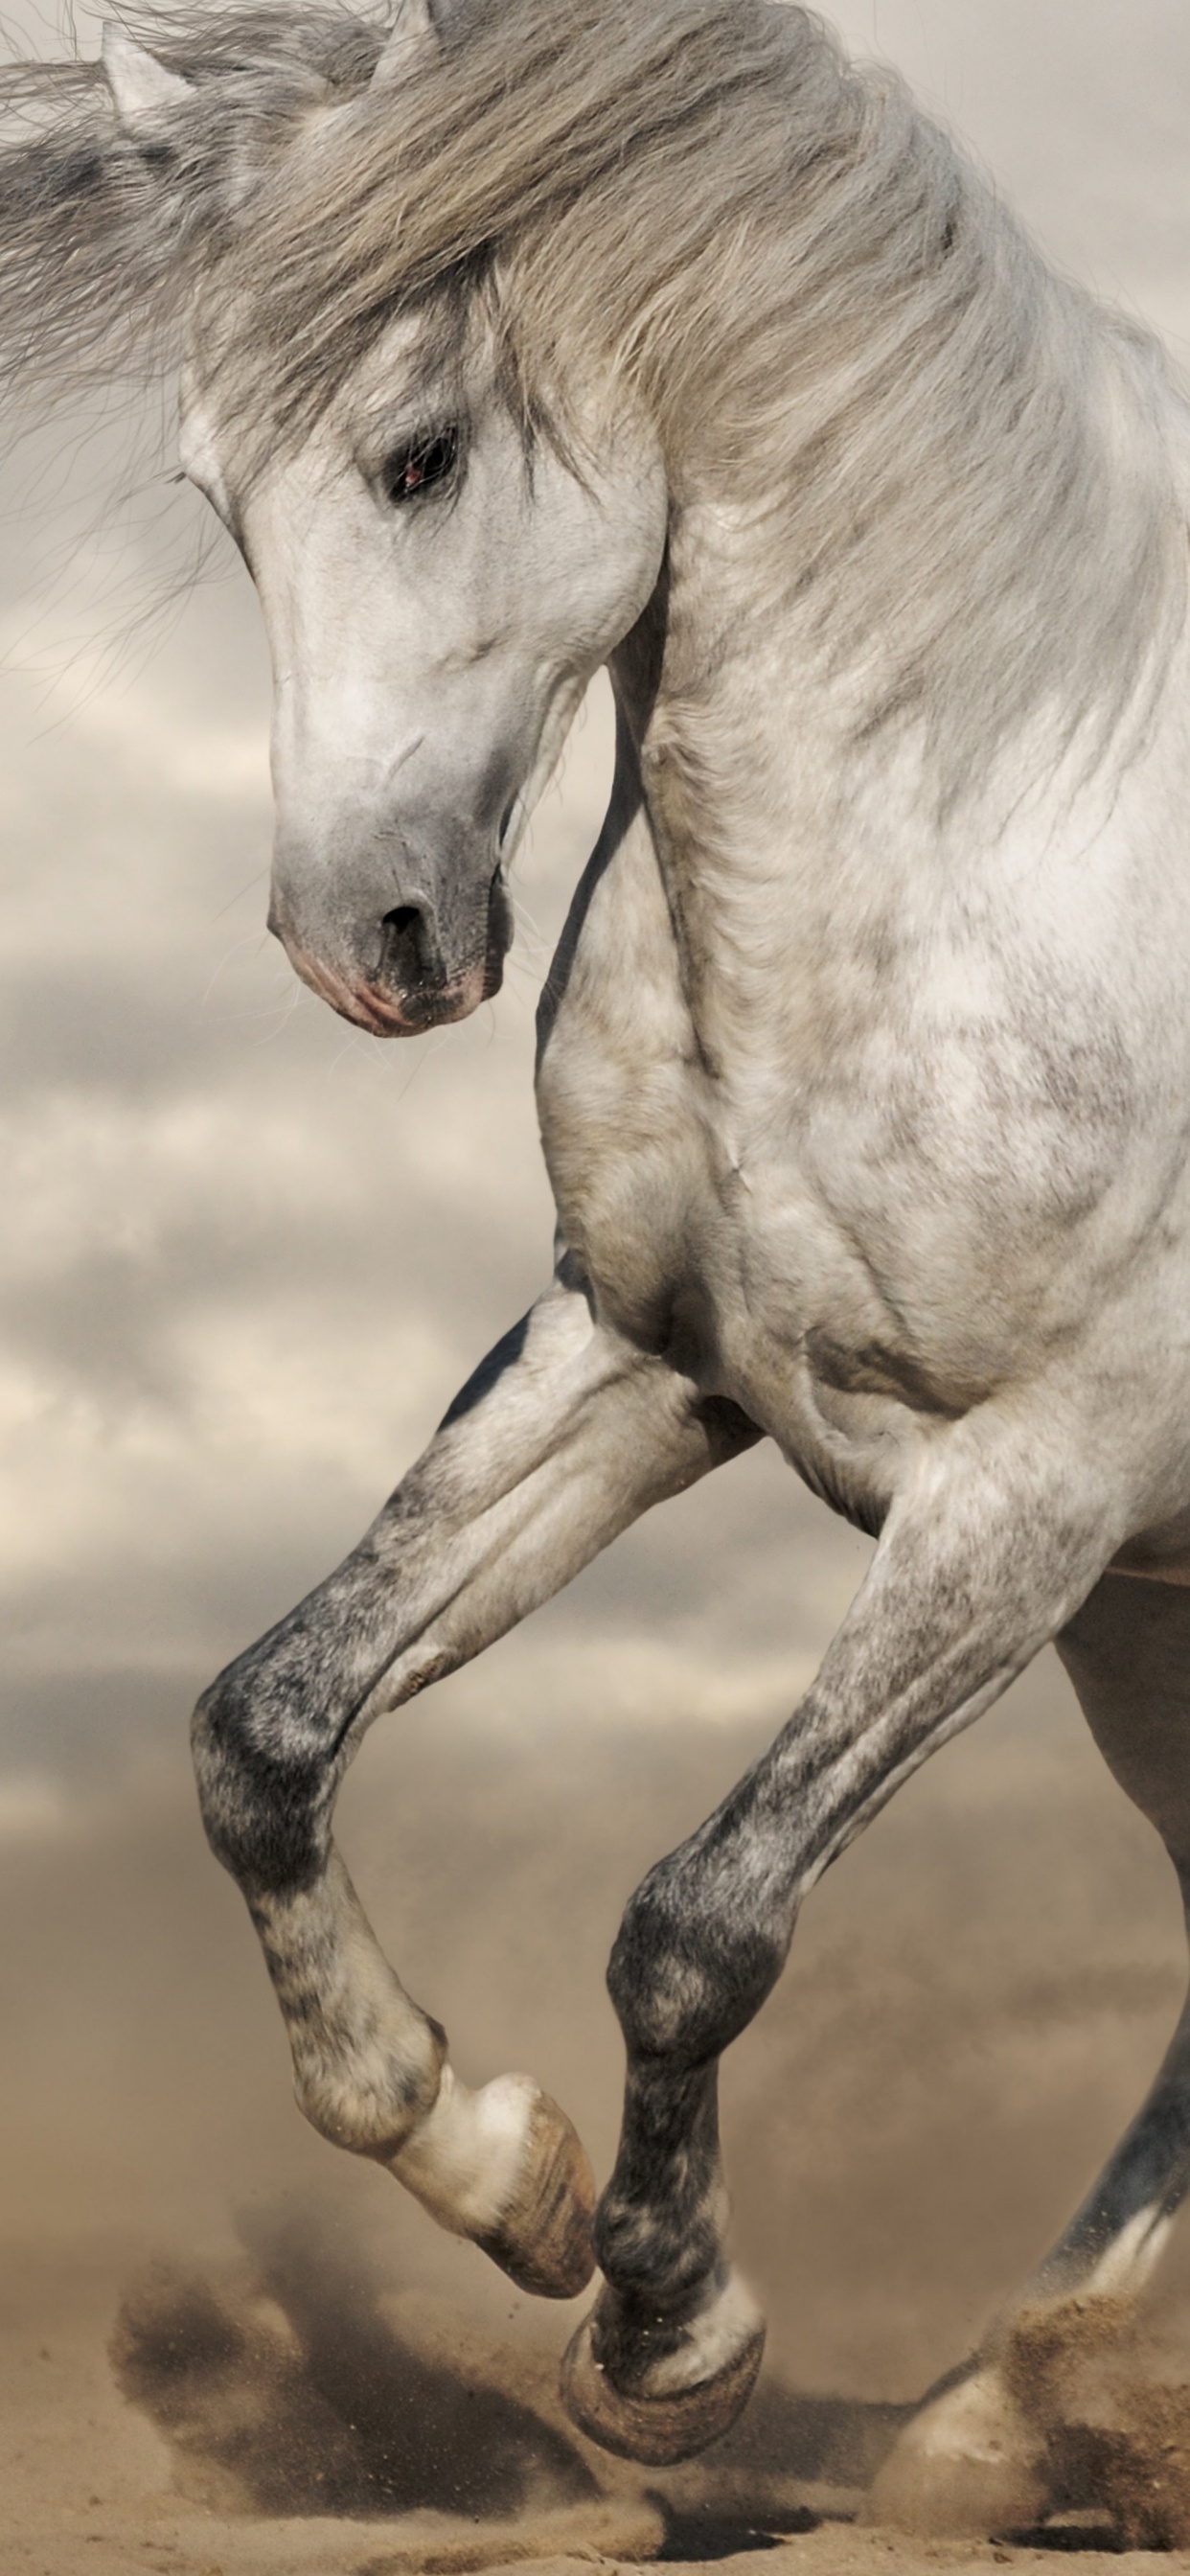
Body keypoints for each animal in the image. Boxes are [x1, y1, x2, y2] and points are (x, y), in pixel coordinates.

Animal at [5, 0, 1190, 2529]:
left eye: (420, 452)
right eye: (211, 490)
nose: (361, 941)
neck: (992, 827)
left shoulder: (1024, 1496)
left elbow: (698, 1922)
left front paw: (666, 2339)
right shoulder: (647, 1365)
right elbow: (262, 1732)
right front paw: (494, 2166)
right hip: (1156, 1636)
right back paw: (981, 2422)